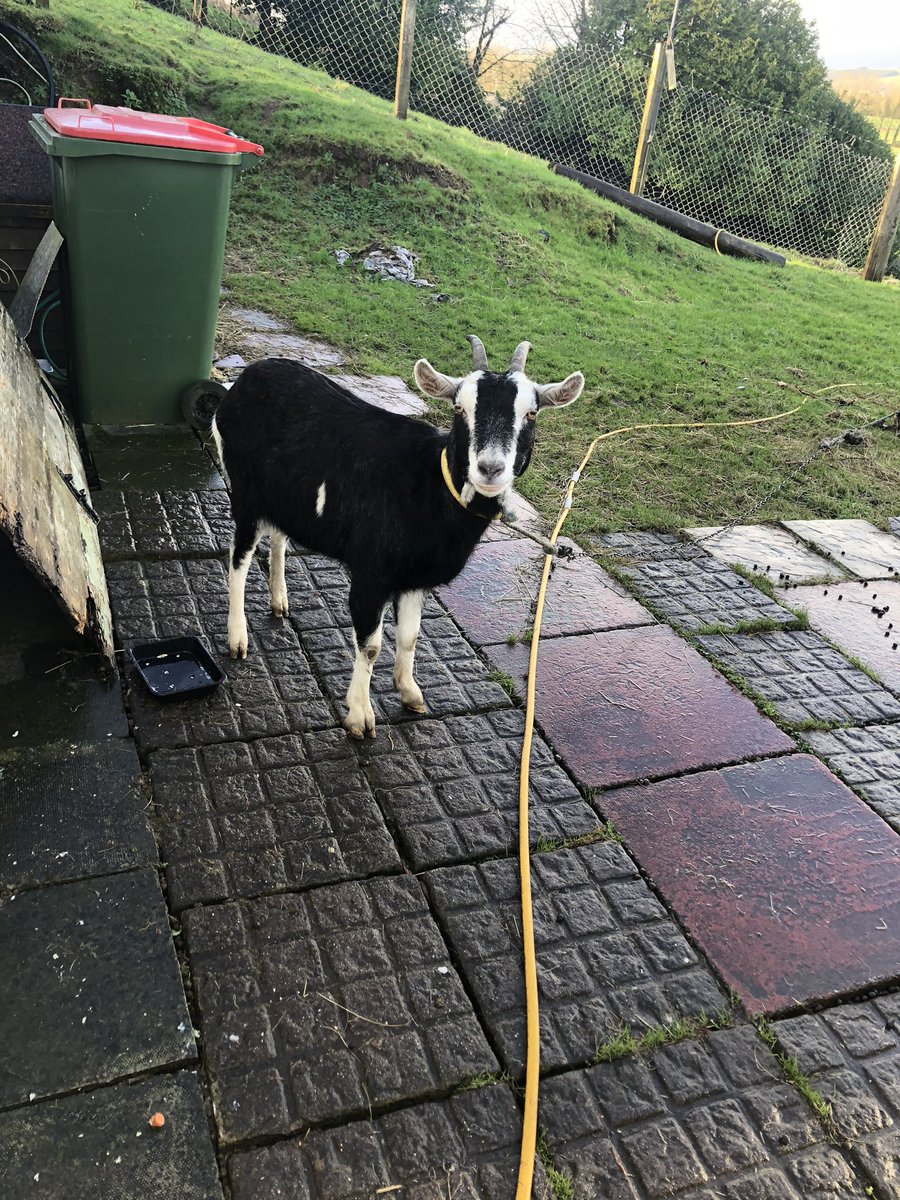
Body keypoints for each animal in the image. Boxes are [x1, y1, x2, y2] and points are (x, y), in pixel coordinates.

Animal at [211, 336, 584, 738]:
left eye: (531, 413)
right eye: (459, 408)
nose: (490, 468)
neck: (430, 488)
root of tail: (242, 381)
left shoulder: (415, 579)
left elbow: (410, 635)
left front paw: (410, 692)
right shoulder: (371, 573)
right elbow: (371, 645)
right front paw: (360, 716)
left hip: (286, 499)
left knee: (279, 537)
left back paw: (279, 601)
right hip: (246, 493)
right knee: (238, 557)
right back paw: (237, 638)